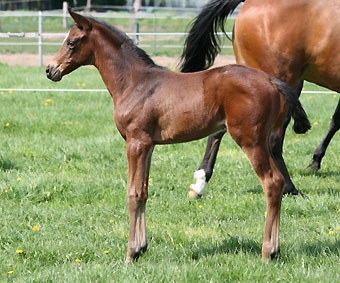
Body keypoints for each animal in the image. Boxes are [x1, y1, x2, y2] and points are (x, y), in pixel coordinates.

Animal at [46, 9, 310, 262]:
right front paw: (141, 247)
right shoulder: (148, 145)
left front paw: (131, 253)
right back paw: (275, 249)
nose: (50, 70)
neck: (134, 83)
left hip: (250, 140)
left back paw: (269, 251)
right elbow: (143, 191)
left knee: (272, 183)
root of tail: (271, 80)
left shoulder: (136, 142)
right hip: (262, 139)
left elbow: (132, 193)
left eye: (71, 42)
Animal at [182, 0, 338, 200]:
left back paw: (200, 183)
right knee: (273, 140)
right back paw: (290, 188)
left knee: (219, 130)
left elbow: (336, 121)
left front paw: (316, 160)